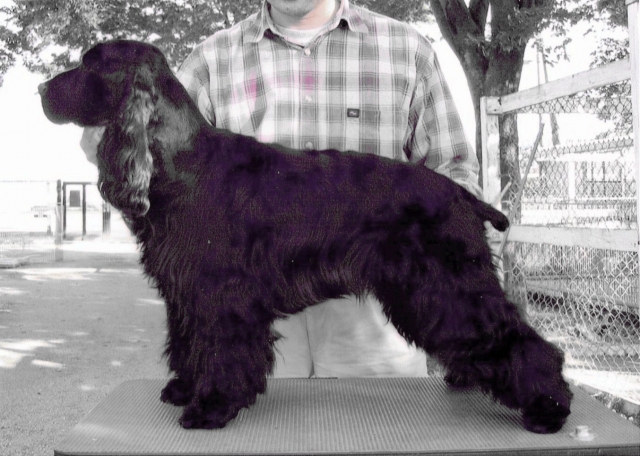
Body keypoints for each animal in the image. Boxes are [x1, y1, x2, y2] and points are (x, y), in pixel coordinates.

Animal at [39, 40, 572, 433]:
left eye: (89, 64)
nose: (41, 88)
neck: (182, 162)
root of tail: (462, 194)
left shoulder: (219, 293)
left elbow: (219, 349)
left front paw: (211, 407)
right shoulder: (186, 294)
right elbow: (188, 343)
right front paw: (183, 389)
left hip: (448, 286)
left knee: (522, 339)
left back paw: (548, 408)